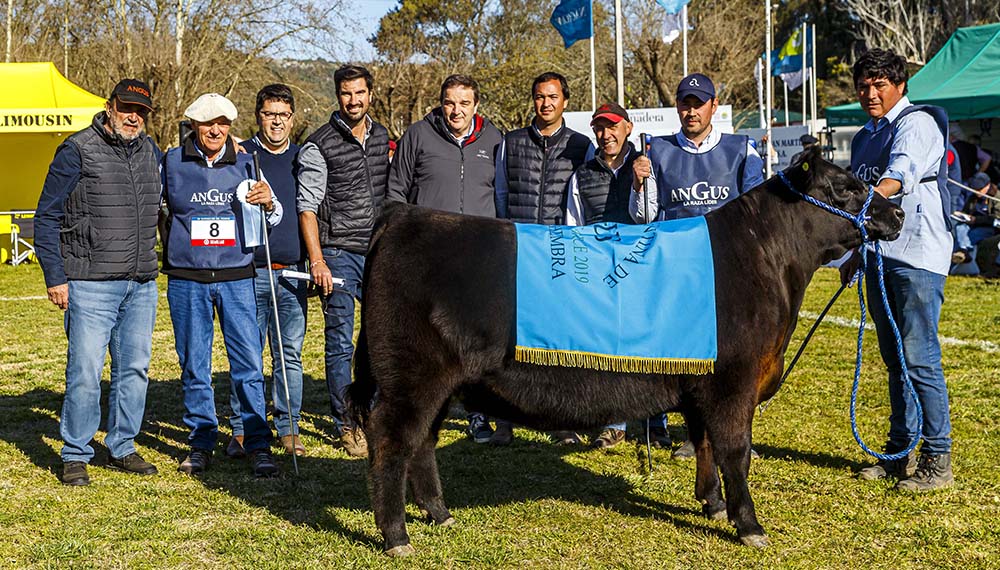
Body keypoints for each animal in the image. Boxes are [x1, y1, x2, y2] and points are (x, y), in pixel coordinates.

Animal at [346, 149, 908, 552]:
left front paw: (711, 505)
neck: (765, 258)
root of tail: (403, 214)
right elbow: (736, 450)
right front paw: (749, 525)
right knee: (392, 439)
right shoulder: (734, 381)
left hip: (442, 384)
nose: (898, 211)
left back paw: (440, 515)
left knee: (423, 441)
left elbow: (704, 443)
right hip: (411, 377)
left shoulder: (702, 376)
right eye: (848, 188)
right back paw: (396, 536)